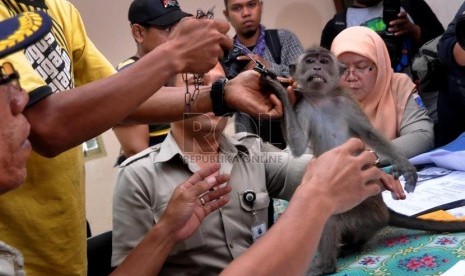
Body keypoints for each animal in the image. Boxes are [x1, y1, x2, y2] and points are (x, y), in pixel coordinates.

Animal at [258, 46, 465, 274]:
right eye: (310, 61)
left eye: (323, 61)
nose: (317, 68)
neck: (322, 97)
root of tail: (383, 212)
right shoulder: (303, 106)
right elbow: (298, 146)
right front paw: (280, 90)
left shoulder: (347, 101)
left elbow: (369, 133)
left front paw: (404, 165)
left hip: (364, 211)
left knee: (328, 215)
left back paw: (328, 265)